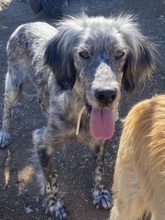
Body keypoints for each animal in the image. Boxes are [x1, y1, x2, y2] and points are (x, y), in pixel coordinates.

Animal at [0, 13, 157, 218]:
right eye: (83, 54)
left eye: (119, 53)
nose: (106, 94)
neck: (81, 113)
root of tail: (26, 25)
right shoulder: (42, 143)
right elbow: (51, 180)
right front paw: (55, 205)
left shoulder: (100, 141)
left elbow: (98, 169)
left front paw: (99, 194)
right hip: (13, 85)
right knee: (7, 110)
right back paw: (4, 134)